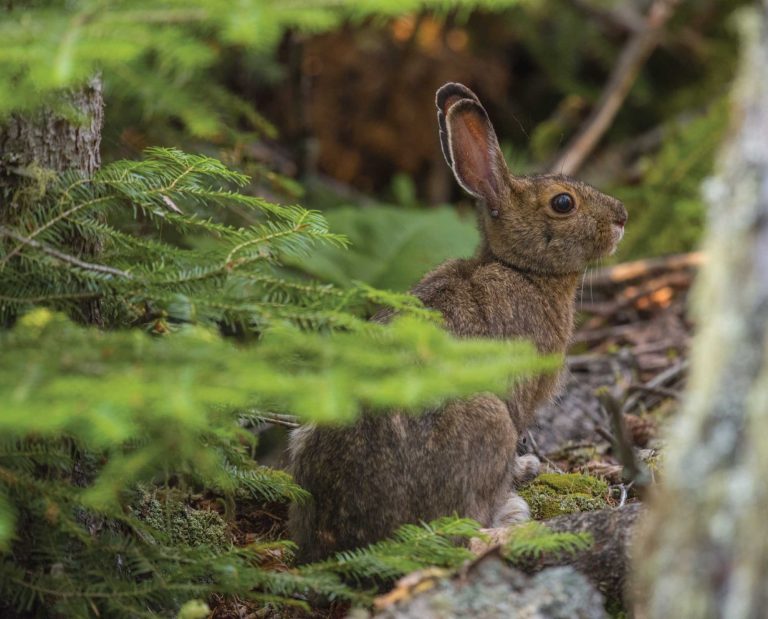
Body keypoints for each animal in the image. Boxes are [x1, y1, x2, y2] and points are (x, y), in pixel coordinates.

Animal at [288, 82, 627, 564]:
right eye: (563, 203)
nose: (622, 217)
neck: (521, 269)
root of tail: (344, 537)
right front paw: (524, 470)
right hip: (488, 419)